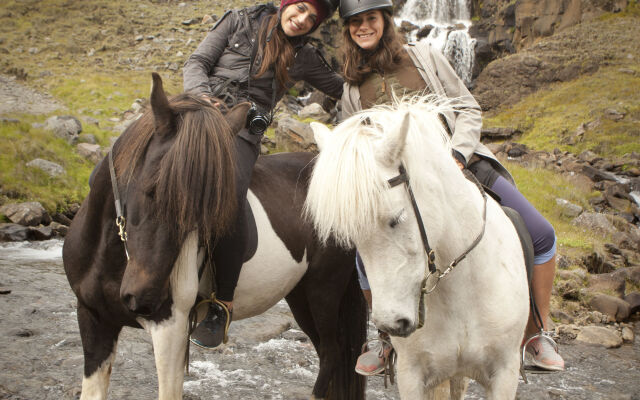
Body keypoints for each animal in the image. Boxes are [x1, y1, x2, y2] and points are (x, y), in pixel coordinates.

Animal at [65, 73, 368, 398]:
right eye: (152, 189)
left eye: (204, 210)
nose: (146, 297)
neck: (108, 253)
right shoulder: (94, 319)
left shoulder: (170, 327)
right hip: (300, 294)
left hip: (323, 288)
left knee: (332, 352)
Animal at [304, 96, 528, 396]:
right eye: (352, 236)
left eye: (396, 218)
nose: (392, 323)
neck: (461, 290)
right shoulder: (412, 374)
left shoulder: (505, 374)